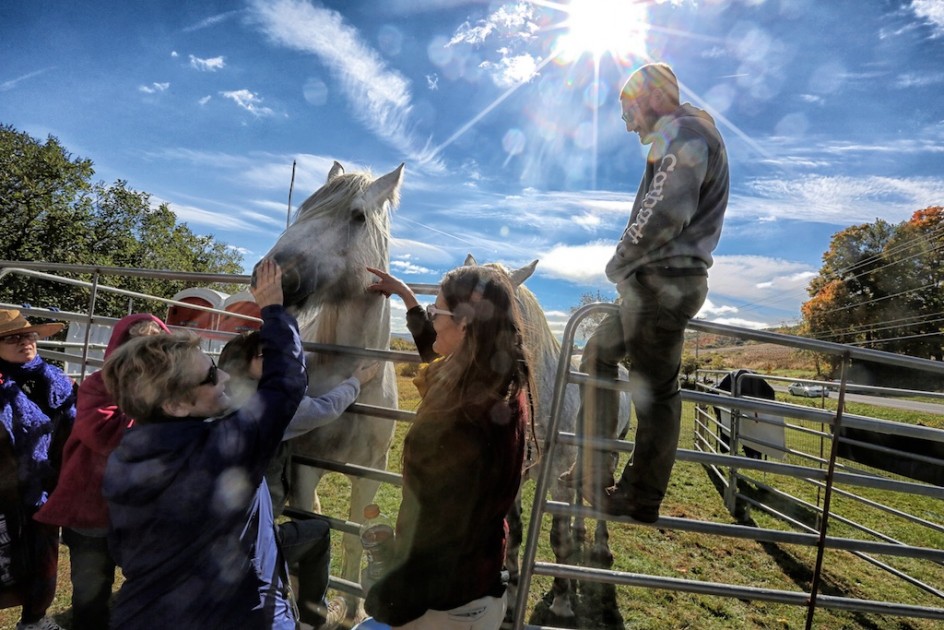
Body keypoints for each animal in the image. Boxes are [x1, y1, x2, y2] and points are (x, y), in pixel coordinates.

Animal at [260, 162, 400, 616]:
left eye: (357, 216)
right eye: (305, 209)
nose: (270, 274)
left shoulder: (369, 471)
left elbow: (356, 535)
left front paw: (353, 608)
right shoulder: (307, 465)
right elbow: (311, 518)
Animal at [462, 256, 628, 624]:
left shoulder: (555, 480)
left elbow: (557, 540)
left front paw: (562, 603)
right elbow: (515, 534)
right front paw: (510, 601)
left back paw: (600, 546)